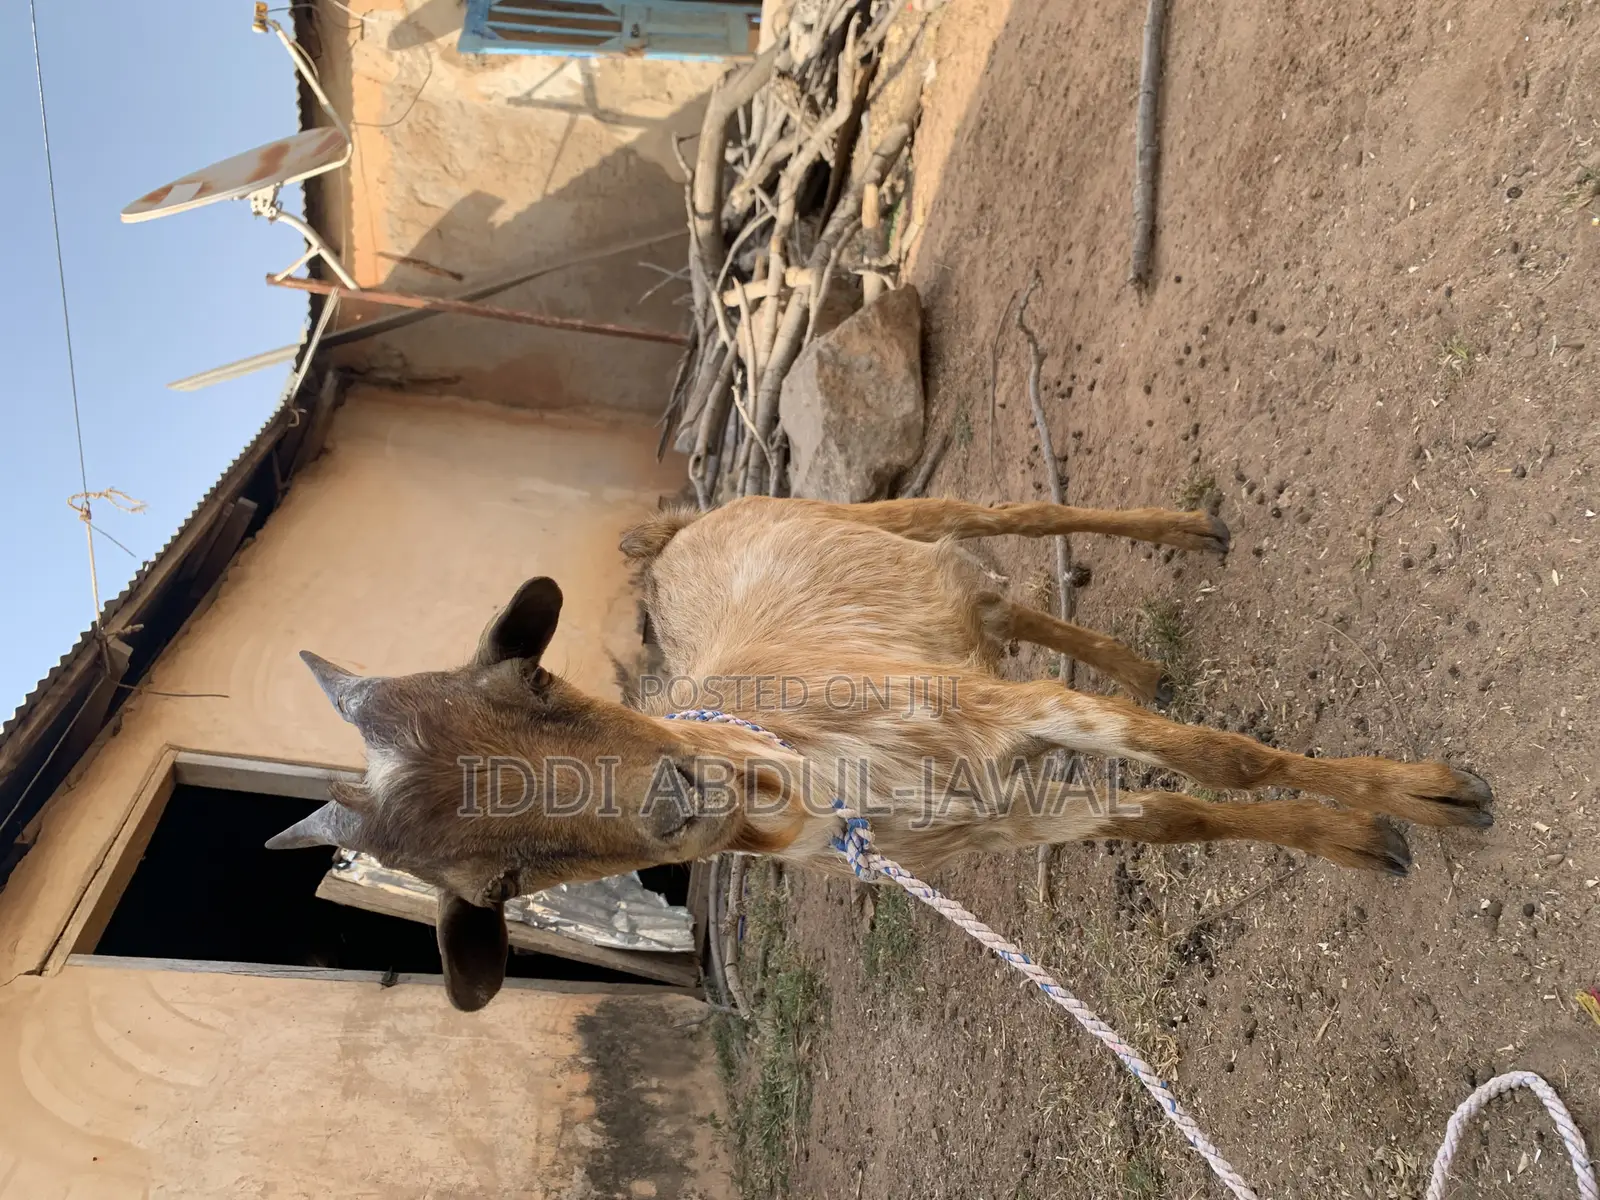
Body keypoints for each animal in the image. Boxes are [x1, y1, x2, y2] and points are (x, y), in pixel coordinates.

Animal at [267, 496, 1492, 1010]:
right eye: (501, 882)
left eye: (534, 683)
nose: (679, 798)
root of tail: (677, 528)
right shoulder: (1023, 809)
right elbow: (1188, 812)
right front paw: (1360, 843)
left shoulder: (1015, 716)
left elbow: (1222, 762)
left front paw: (1431, 797)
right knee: (996, 601)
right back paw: (1140, 662)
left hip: (868, 510)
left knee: (1002, 514)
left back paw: (1190, 530)